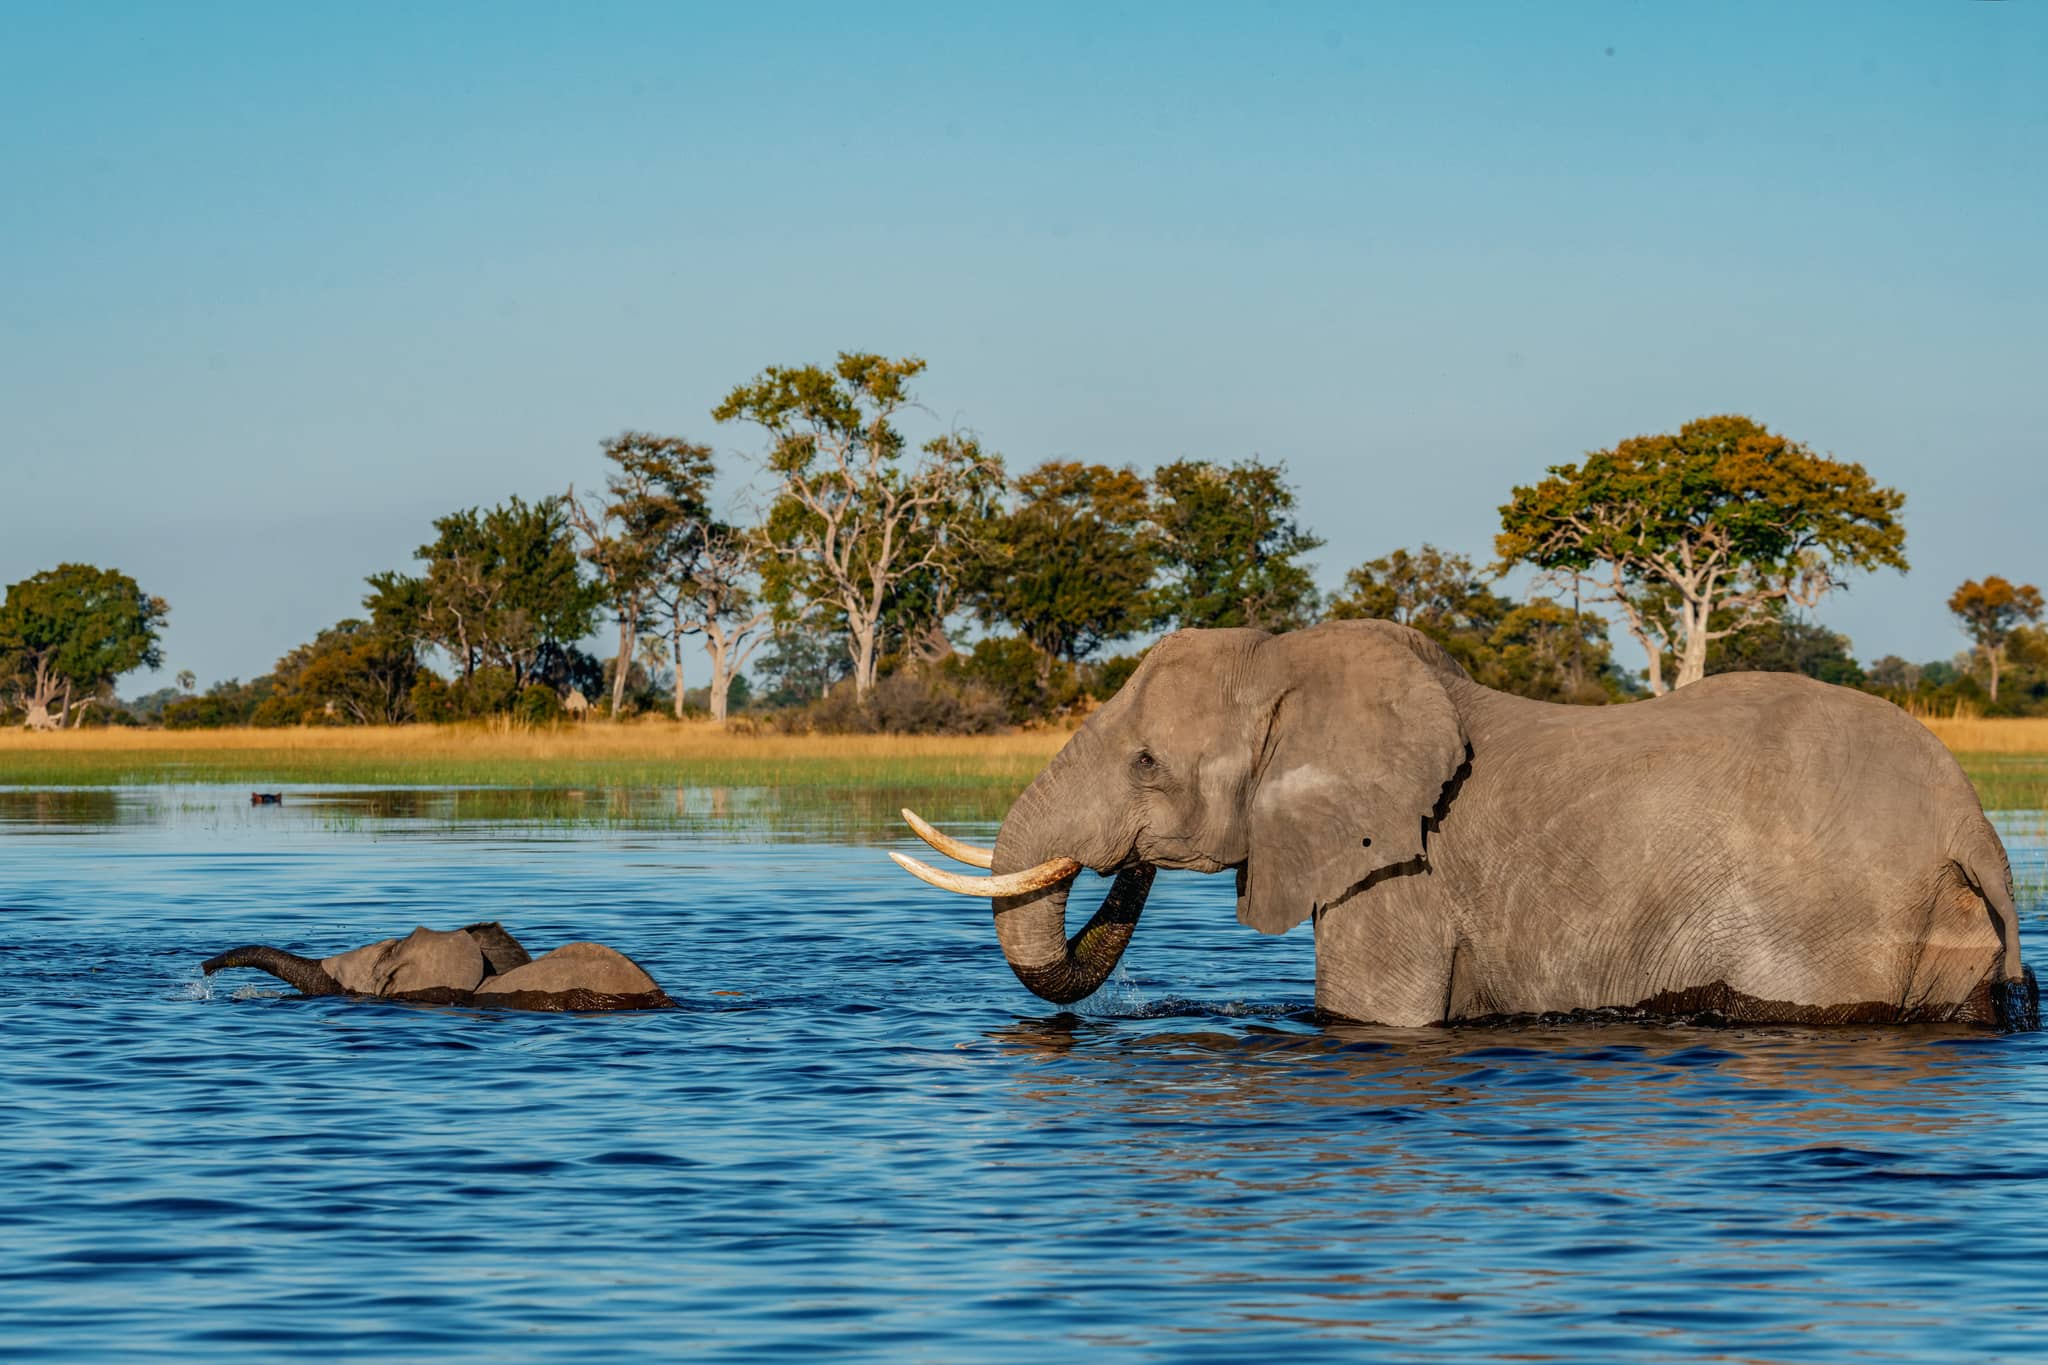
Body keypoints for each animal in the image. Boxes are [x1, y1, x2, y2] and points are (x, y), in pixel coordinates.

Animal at [891, 620, 2037, 1030]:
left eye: (1145, 765)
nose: (1124, 866)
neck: (1291, 656)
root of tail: (1970, 825)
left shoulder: (1398, 878)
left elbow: (1372, 1015)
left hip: (1829, 921)